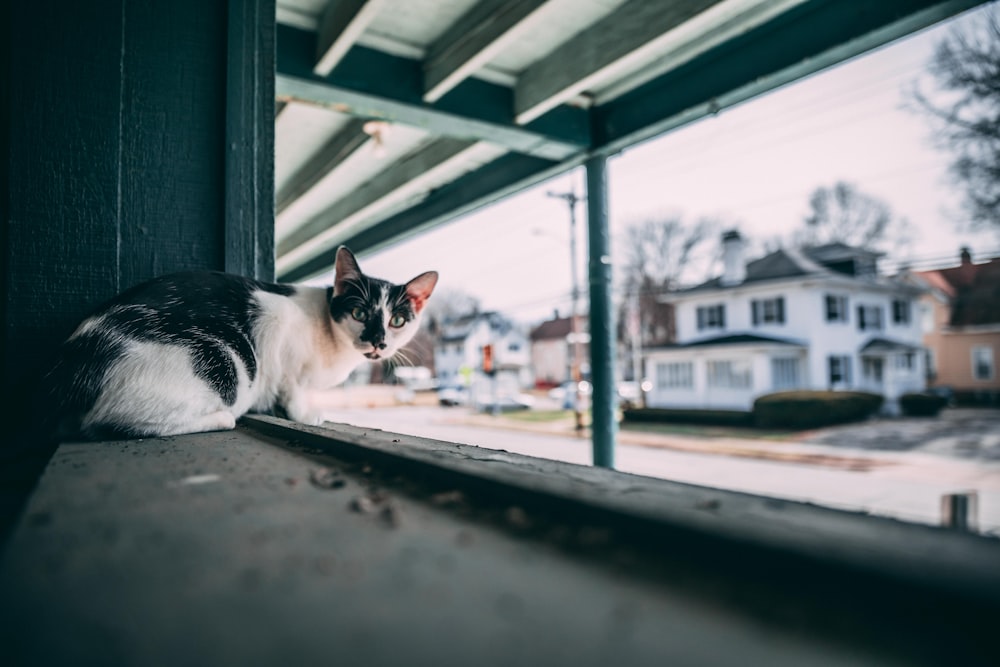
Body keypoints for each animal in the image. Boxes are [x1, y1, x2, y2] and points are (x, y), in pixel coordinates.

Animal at [40, 248, 438, 440]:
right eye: (359, 312)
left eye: (397, 321)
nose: (378, 341)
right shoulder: (277, 315)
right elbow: (292, 387)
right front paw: (303, 413)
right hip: (226, 360)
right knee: (104, 425)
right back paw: (223, 418)